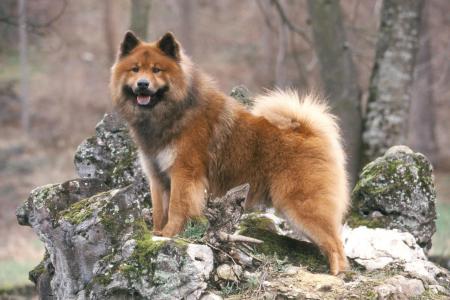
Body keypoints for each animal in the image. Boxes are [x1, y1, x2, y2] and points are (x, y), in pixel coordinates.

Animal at [110, 31, 350, 274]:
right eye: (135, 69)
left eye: (157, 70)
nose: (142, 84)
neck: (173, 113)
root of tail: (309, 132)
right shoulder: (158, 177)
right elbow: (160, 211)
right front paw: (156, 234)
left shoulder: (183, 173)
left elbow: (177, 208)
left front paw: (169, 234)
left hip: (302, 205)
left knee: (336, 244)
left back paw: (337, 273)